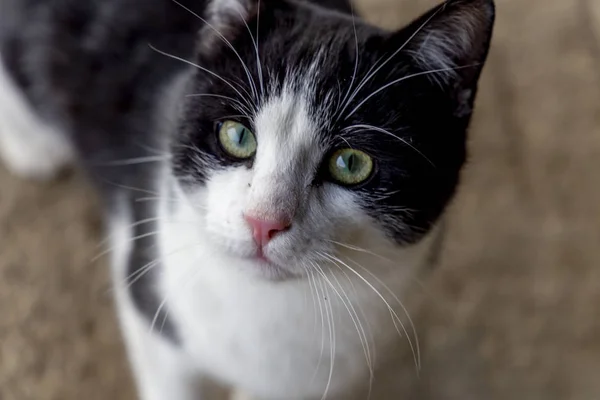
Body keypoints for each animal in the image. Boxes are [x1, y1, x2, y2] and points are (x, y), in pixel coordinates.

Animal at [0, 0, 496, 398]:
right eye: (237, 136)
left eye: (352, 163)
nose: (264, 221)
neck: (269, 307)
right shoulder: (150, 301)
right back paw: (30, 143)